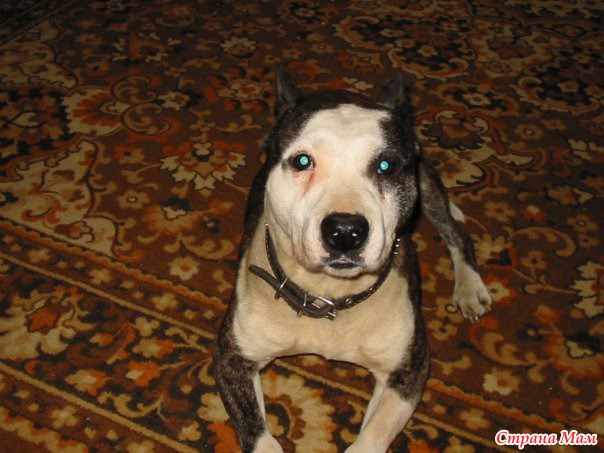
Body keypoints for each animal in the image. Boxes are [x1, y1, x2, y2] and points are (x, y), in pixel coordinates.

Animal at [213, 68, 492, 452]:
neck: (327, 295)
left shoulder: (408, 372)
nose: (345, 230)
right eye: (302, 161)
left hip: (427, 184)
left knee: (456, 234)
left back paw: (469, 288)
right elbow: (259, 435)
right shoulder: (232, 360)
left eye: (386, 165)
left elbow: (372, 436)